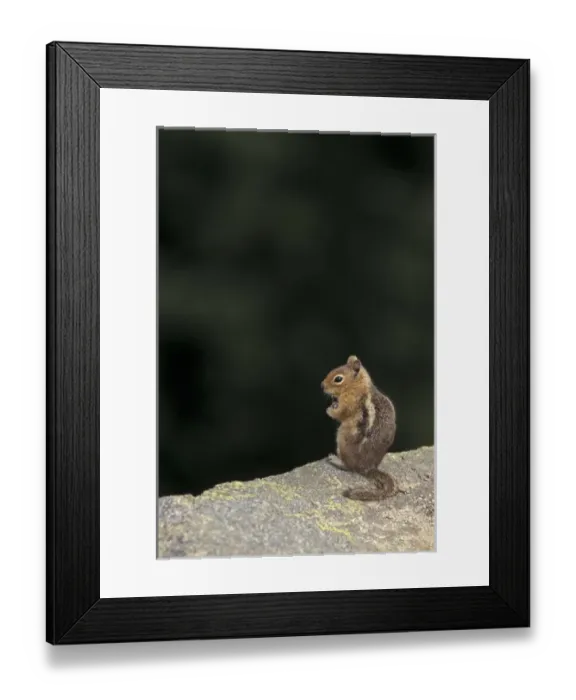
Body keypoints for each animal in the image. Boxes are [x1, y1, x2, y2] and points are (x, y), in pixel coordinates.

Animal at [321, 355, 399, 501]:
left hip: (342, 439)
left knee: (350, 467)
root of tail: (368, 468)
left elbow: (340, 413)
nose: (322, 385)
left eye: (338, 379)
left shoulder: (349, 401)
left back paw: (336, 460)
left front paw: (329, 410)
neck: (357, 385)